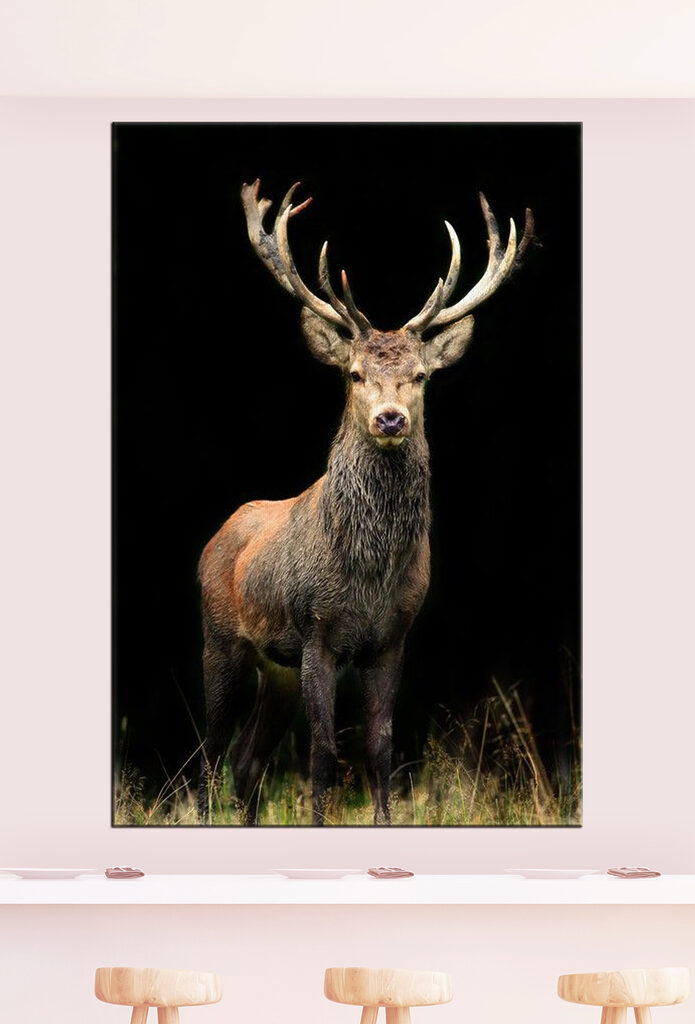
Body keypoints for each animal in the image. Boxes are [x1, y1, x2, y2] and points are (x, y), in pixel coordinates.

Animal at [198, 179, 534, 825]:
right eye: (354, 373)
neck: (368, 575)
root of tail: (215, 537)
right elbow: (325, 752)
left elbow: (381, 747)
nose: (390, 418)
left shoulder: (394, 637)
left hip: (275, 667)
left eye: (422, 376)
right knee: (209, 752)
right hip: (221, 638)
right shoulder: (316, 631)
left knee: (245, 762)